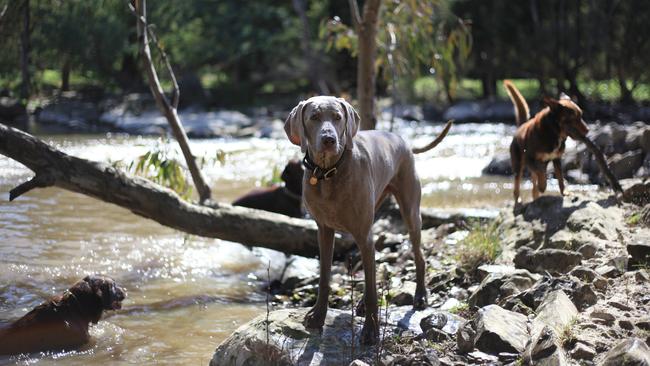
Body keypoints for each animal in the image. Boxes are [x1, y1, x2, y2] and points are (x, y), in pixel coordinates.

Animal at [284, 96, 450, 344]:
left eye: (338, 117)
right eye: (314, 117)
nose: (329, 140)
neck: (328, 172)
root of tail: (403, 140)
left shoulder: (363, 233)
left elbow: (372, 290)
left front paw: (371, 331)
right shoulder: (324, 230)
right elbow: (325, 278)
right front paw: (318, 316)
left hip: (410, 212)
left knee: (418, 257)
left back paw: (420, 296)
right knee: (371, 264)